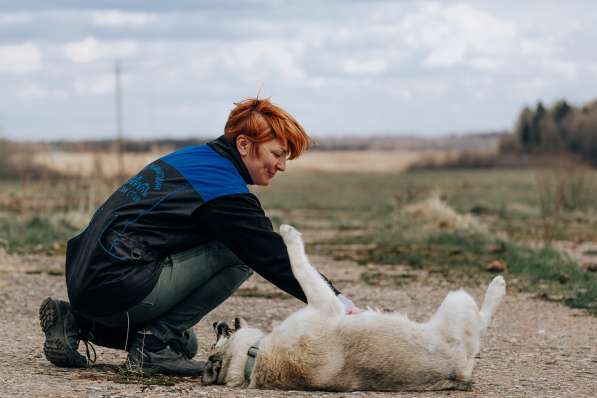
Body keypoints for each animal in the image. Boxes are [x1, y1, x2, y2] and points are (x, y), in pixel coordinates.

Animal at [203, 224, 506, 392]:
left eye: (217, 338)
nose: (216, 323)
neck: (251, 359)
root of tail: (459, 374)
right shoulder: (324, 303)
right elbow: (299, 265)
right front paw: (289, 235)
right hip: (457, 300)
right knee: (482, 320)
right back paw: (497, 285)